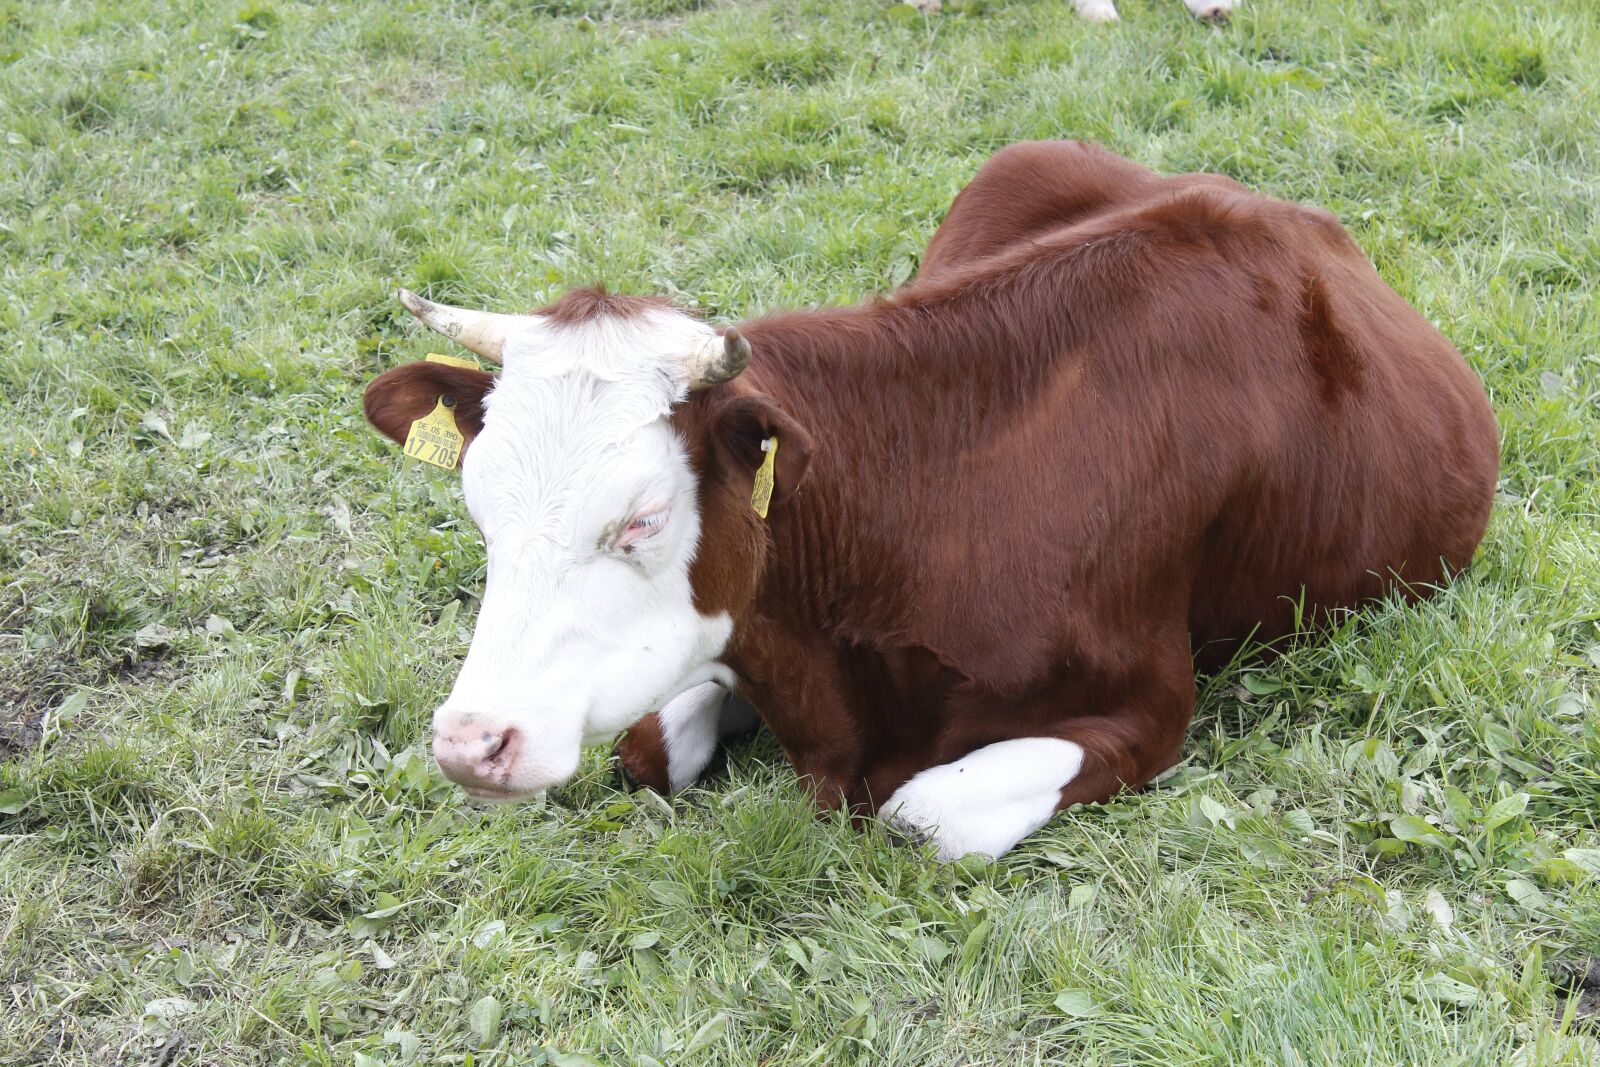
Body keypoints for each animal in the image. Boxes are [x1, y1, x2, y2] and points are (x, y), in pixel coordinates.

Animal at [363, 140, 1498, 861]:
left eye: (641, 519)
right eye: (480, 512)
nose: (471, 740)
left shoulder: (1146, 705)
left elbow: (918, 816)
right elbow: (645, 746)